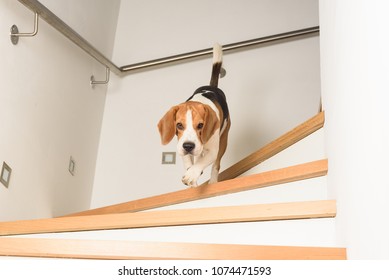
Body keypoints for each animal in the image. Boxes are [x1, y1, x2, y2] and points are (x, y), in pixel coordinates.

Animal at [158, 43, 230, 187]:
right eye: (179, 125)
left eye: (201, 125)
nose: (188, 146)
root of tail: (212, 87)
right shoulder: (182, 145)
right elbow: (189, 162)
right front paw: (192, 177)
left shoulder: (213, 150)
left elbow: (203, 162)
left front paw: (192, 174)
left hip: (224, 139)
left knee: (216, 165)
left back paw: (213, 181)